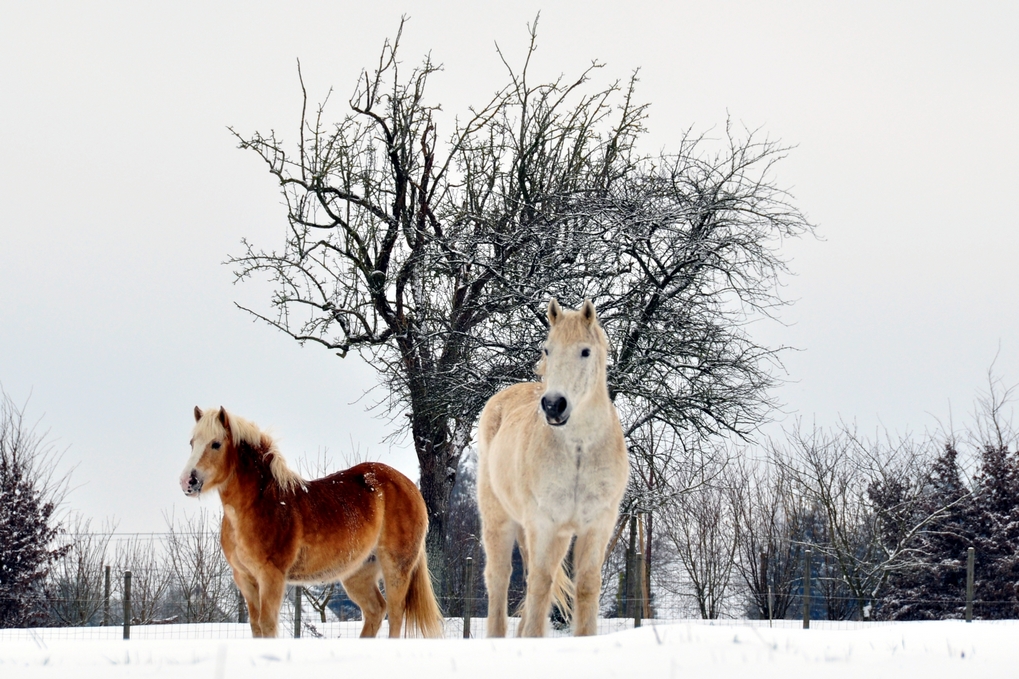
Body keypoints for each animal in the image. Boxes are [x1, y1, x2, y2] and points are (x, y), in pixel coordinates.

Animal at [180, 407, 442, 636]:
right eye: (191, 443)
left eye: (216, 444)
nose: (187, 482)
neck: (260, 504)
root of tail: (409, 487)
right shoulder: (244, 578)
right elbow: (256, 626)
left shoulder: (272, 576)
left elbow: (267, 624)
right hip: (358, 572)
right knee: (376, 611)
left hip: (396, 567)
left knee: (396, 614)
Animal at [476, 297, 627, 636]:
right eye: (548, 349)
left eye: (585, 351)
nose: (554, 405)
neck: (579, 450)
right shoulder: (545, 525)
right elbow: (540, 586)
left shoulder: (596, 526)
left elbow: (586, 586)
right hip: (500, 521)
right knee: (499, 580)